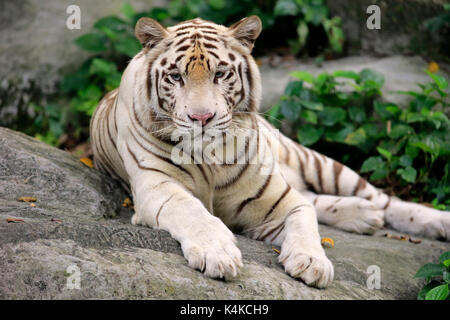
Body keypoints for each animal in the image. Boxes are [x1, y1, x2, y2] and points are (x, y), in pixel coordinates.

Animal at [90, 16, 450, 288]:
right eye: (176, 76)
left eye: (220, 74)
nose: (202, 118)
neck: (209, 158)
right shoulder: (157, 190)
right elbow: (193, 211)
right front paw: (218, 253)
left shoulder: (283, 201)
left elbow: (305, 221)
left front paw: (312, 262)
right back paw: (364, 216)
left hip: (317, 162)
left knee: (384, 200)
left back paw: (433, 222)